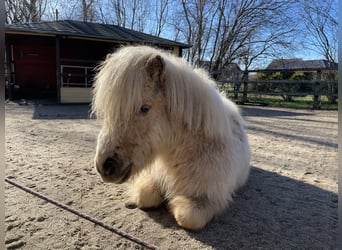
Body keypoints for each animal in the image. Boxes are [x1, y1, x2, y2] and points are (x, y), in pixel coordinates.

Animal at [92, 45, 250, 230]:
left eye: (144, 108)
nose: (104, 166)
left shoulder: (212, 197)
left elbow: (188, 217)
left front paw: (173, 204)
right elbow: (145, 196)